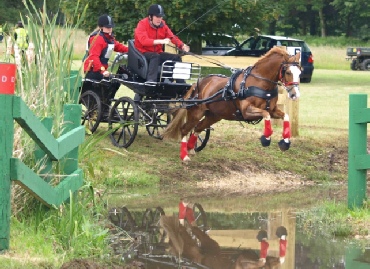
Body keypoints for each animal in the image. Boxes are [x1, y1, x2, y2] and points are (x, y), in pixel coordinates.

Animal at [163, 46, 302, 160]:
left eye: (300, 72)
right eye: (288, 72)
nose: (295, 95)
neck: (259, 82)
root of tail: (198, 83)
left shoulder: (272, 110)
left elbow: (286, 116)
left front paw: (285, 142)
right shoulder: (247, 111)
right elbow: (265, 115)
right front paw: (266, 138)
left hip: (213, 116)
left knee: (198, 128)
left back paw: (191, 149)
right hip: (196, 112)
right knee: (184, 129)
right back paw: (184, 155)